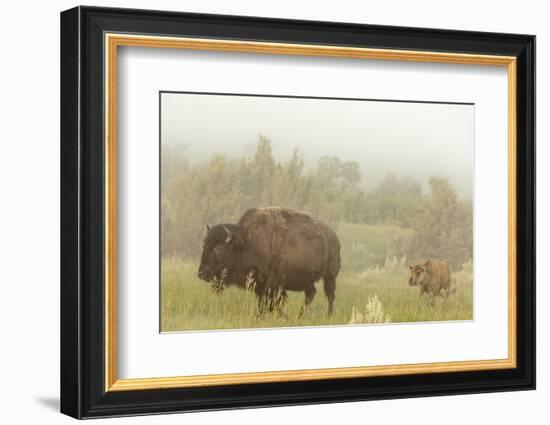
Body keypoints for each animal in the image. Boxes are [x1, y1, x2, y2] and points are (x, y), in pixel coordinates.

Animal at [198, 207, 342, 314]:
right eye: (204, 246)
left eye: (219, 248)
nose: (201, 274)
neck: (248, 242)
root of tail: (334, 236)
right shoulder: (262, 286)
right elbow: (270, 304)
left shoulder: (271, 285)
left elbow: (268, 304)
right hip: (307, 280)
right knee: (311, 294)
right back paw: (300, 315)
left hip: (330, 275)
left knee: (330, 295)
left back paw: (328, 316)